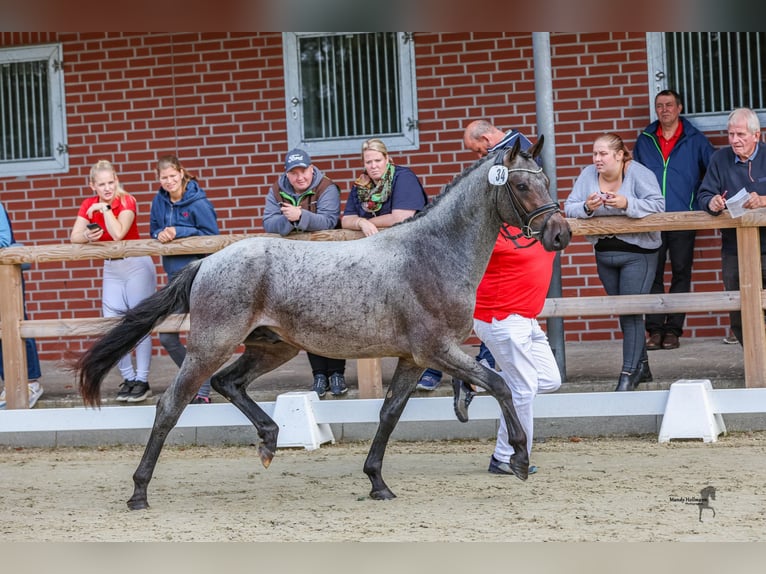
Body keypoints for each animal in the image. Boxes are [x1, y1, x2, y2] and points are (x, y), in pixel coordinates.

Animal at [76, 137, 568, 510]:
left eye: (546, 180)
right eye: (521, 184)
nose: (559, 233)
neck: (431, 253)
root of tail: (208, 262)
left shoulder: (413, 357)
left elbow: (390, 412)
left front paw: (377, 482)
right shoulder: (437, 349)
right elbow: (500, 384)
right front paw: (519, 459)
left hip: (274, 346)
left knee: (227, 384)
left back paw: (269, 441)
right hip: (210, 345)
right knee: (171, 405)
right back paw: (139, 492)